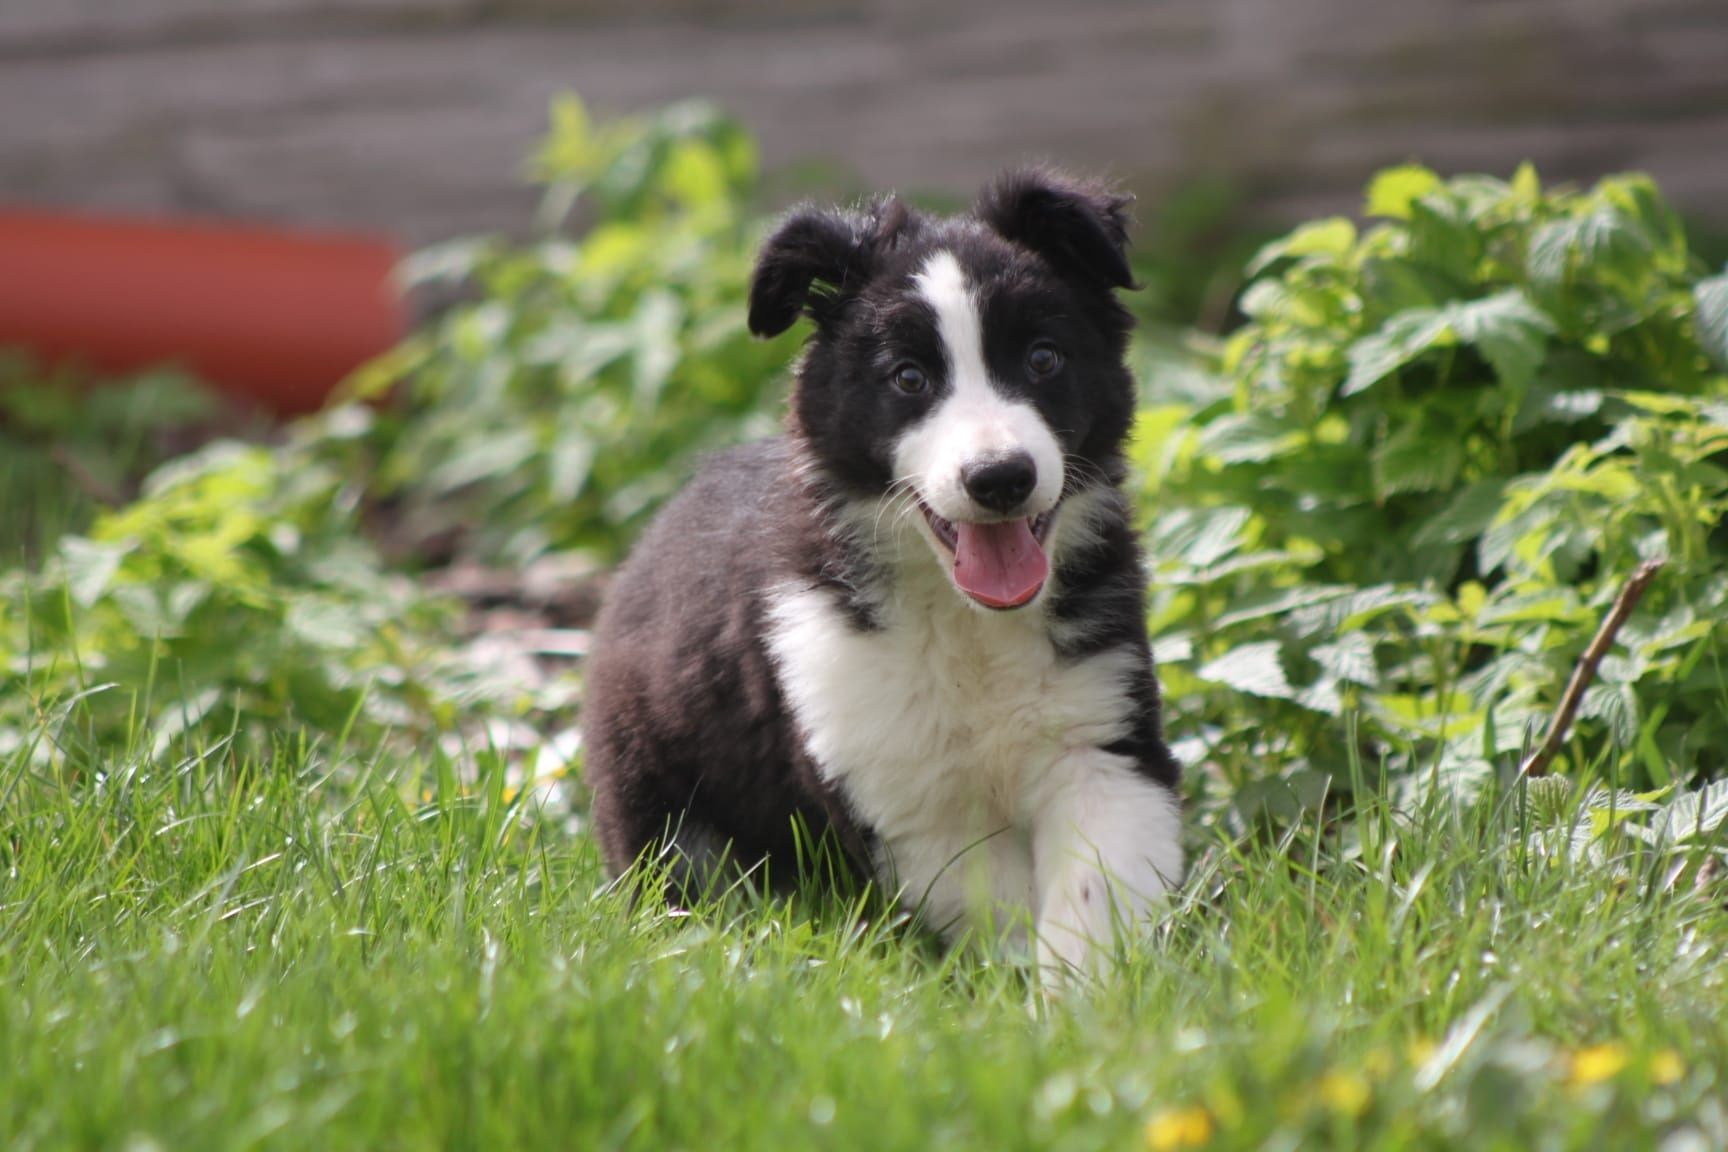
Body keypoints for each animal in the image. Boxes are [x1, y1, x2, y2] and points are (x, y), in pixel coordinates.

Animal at [587, 164, 1181, 974]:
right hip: (656, 793)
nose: (1001, 479)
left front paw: (1081, 993)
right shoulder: (902, 785)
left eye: (1043, 359)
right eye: (908, 379)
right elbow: (996, 900)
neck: (968, 622)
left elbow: (1094, 889)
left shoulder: (1101, 741)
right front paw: (1015, 983)